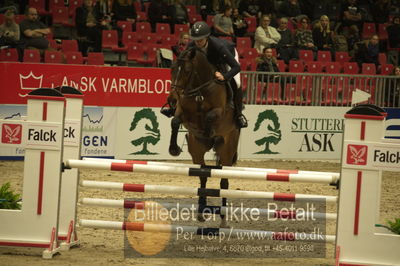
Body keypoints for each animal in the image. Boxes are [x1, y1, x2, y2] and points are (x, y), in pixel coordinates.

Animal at [166, 46, 239, 225]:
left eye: (187, 70)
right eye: (172, 69)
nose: (171, 99)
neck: (200, 89)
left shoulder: (219, 111)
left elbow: (209, 117)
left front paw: (208, 130)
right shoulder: (182, 112)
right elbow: (175, 121)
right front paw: (174, 149)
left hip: (227, 151)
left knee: (224, 181)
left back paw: (223, 218)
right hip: (197, 151)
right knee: (203, 176)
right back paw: (201, 212)